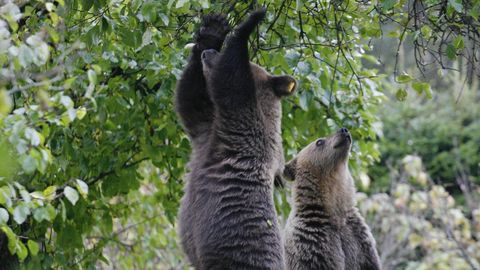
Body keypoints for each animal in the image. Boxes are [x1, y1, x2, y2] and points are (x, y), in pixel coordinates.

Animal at [176, 8, 296, 270]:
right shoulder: (206, 129)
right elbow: (190, 98)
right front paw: (213, 29)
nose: (208, 53)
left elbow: (232, 83)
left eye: (219, 57)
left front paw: (251, 21)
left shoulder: (243, 127)